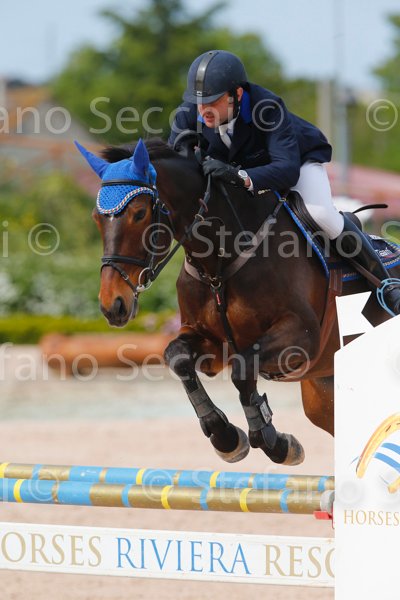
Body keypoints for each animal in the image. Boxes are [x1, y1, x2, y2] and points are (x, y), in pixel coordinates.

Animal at [76, 137, 397, 466]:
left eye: (139, 213)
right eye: (96, 218)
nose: (113, 305)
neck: (219, 264)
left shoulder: (302, 337)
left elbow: (243, 370)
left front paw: (273, 442)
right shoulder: (212, 344)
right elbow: (178, 356)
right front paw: (226, 437)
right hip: (323, 394)